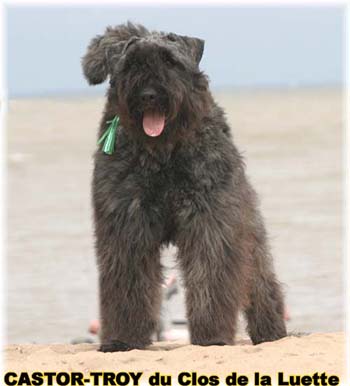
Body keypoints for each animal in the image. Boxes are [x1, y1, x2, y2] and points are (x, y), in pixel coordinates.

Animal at [82, 21, 288, 352]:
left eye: (170, 61)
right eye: (132, 64)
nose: (150, 94)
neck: (162, 154)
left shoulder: (209, 222)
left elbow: (210, 276)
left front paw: (212, 336)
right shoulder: (126, 225)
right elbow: (128, 281)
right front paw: (122, 339)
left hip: (249, 231)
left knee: (260, 281)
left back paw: (271, 332)